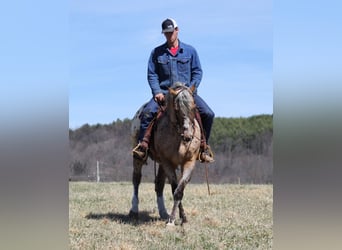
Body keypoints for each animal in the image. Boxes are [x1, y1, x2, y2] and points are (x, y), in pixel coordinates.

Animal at [130, 82, 202, 227]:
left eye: (194, 107)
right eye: (177, 108)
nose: (188, 136)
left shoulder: (189, 162)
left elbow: (179, 190)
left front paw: (182, 218)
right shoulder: (168, 162)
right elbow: (174, 188)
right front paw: (172, 220)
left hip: (161, 163)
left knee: (159, 185)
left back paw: (163, 212)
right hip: (139, 158)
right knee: (136, 180)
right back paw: (134, 210)